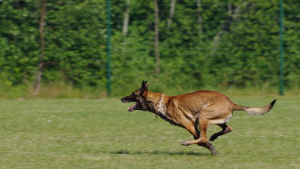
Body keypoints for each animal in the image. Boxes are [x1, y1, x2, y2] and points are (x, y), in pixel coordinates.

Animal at [120, 80, 276, 154]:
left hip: (203, 116)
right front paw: (211, 147)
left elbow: (201, 140)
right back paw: (214, 136)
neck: (160, 102)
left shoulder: (189, 124)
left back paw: (188, 142)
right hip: (213, 119)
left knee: (204, 137)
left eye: (133, 94)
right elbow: (202, 139)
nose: (121, 98)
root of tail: (231, 103)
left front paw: (210, 148)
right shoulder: (194, 125)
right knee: (227, 128)